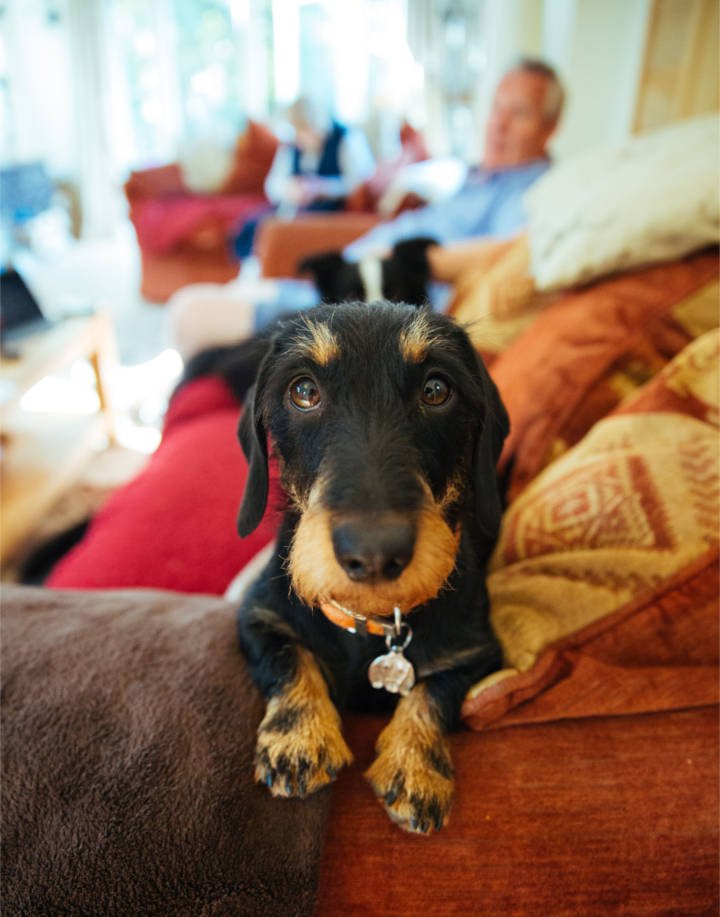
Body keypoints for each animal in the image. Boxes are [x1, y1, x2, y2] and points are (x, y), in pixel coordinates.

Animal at [233, 302, 510, 836]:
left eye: (436, 389)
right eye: (303, 391)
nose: (376, 551)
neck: (369, 619)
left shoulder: (479, 654)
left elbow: (433, 691)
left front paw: (416, 766)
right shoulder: (256, 617)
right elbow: (288, 657)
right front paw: (300, 737)